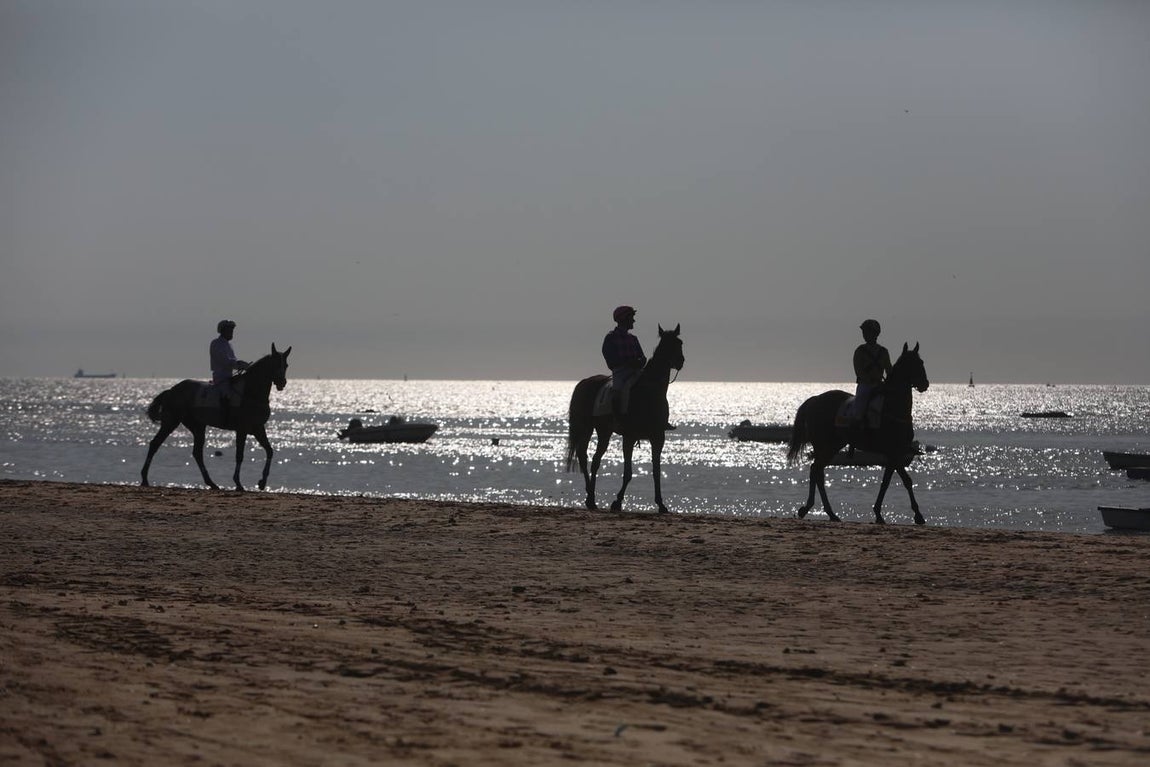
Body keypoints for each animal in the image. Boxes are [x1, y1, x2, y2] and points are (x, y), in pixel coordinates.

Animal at [141, 344, 292, 491]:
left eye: (285, 365)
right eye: (274, 364)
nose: (281, 383)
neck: (250, 392)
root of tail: (171, 390)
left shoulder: (258, 428)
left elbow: (269, 451)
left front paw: (262, 482)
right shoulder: (242, 430)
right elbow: (239, 455)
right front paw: (238, 483)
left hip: (197, 426)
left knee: (197, 453)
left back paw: (211, 483)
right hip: (171, 422)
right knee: (155, 444)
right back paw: (144, 479)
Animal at [565, 324, 684, 514]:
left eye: (679, 342)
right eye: (666, 345)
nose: (680, 361)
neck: (649, 394)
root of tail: (584, 382)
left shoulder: (658, 437)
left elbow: (656, 471)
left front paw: (661, 503)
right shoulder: (629, 437)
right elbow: (628, 472)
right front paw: (617, 501)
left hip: (604, 431)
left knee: (595, 461)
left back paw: (591, 497)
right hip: (586, 427)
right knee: (584, 457)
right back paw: (590, 498)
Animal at [786, 342, 930, 525]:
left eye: (921, 362)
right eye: (911, 364)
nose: (925, 384)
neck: (893, 408)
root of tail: (815, 399)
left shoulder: (894, 455)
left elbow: (885, 483)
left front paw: (878, 513)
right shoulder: (894, 453)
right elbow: (907, 480)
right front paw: (918, 515)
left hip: (832, 446)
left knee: (816, 471)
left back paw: (824, 512)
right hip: (824, 446)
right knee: (817, 471)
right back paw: (820, 511)